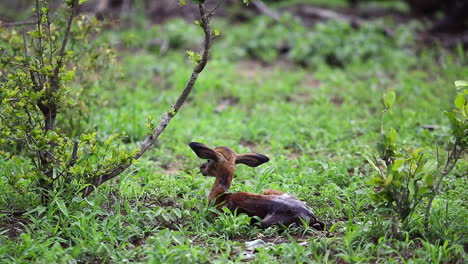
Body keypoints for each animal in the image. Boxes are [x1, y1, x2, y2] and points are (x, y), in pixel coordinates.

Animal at [188, 142, 324, 229]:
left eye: (209, 160)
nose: (201, 168)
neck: (220, 195)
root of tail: (310, 215)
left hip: (266, 222)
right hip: (268, 190)